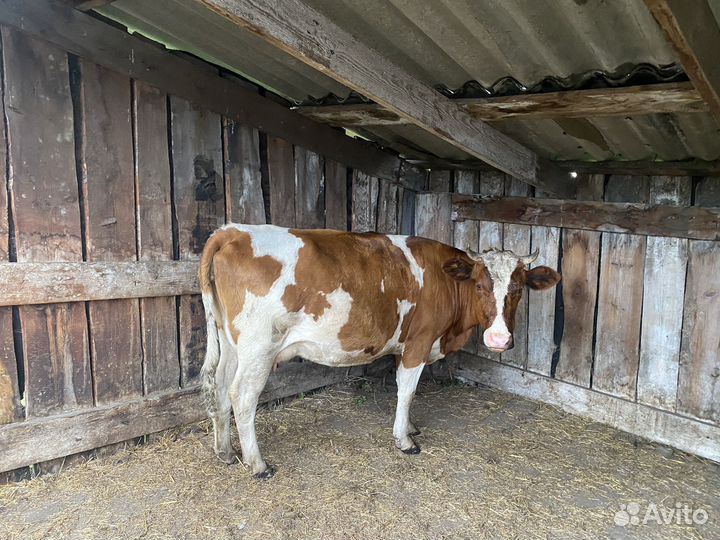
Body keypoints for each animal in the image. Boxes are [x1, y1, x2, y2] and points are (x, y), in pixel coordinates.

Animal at [199, 224, 560, 478]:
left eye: (518, 289)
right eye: (480, 285)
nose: (499, 339)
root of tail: (233, 231)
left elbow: (405, 389)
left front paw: (410, 427)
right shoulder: (419, 341)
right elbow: (408, 390)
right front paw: (405, 440)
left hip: (231, 344)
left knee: (219, 388)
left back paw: (225, 452)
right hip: (258, 348)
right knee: (242, 397)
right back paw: (257, 464)